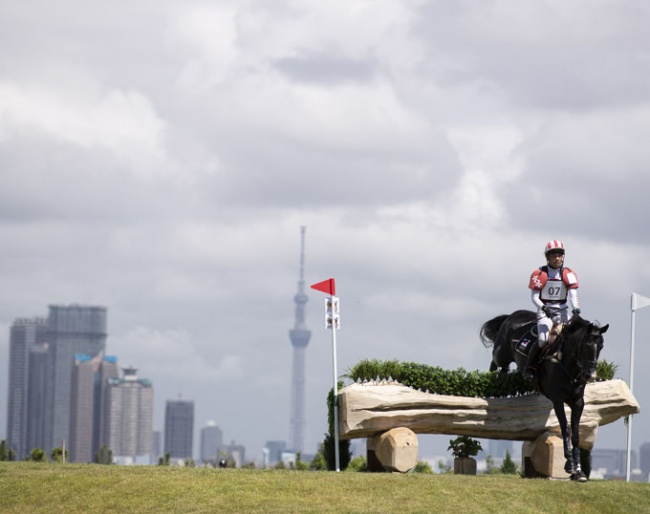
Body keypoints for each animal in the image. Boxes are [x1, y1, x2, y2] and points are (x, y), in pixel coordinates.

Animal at [476, 308, 608, 480]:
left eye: (601, 346)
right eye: (586, 344)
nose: (590, 375)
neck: (567, 366)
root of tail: (513, 315)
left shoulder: (578, 402)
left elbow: (576, 433)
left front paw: (579, 471)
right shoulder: (557, 400)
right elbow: (566, 429)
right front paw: (570, 465)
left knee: (503, 369)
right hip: (502, 354)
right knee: (495, 363)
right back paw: (492, 381)